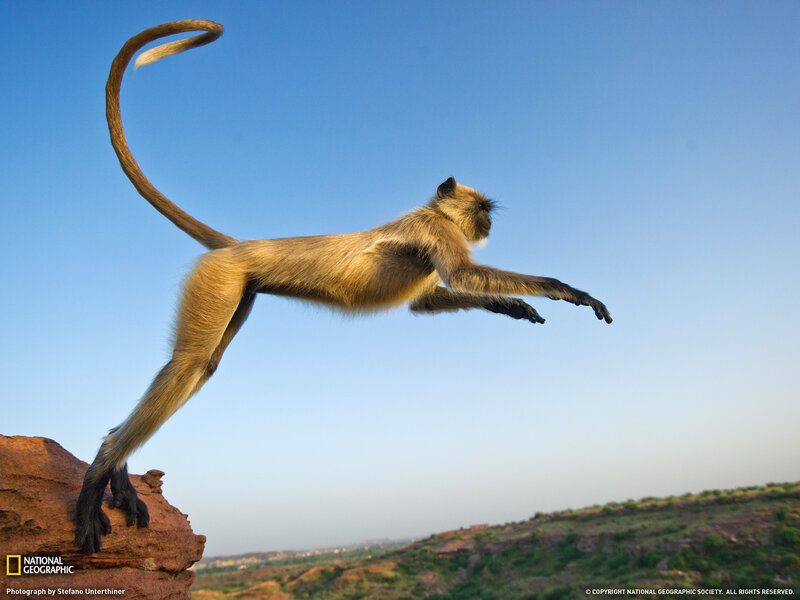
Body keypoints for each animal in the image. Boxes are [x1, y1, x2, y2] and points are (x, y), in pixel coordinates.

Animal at [74, 20, 612, 553]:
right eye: (482, 209)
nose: (488, 224)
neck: (434, 215)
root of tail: (241, 246)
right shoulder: (437, 231)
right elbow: (460, 276)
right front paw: (567, 290)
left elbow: (427, 301)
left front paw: (514, 308)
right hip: (220, 279)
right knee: (189, 364)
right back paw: (102, 469)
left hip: (239, 289)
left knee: (203, 365)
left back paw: (117, 473)